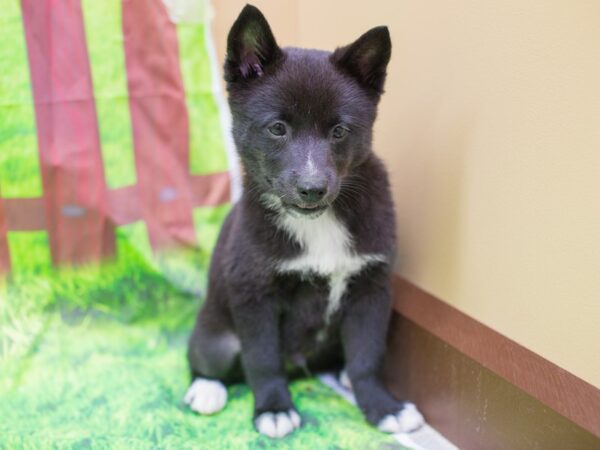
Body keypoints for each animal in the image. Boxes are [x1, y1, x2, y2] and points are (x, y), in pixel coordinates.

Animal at [185, 4, 424, 440]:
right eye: (277, 128)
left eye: (340, 130)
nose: (312, 189)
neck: (319, 223)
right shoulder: (253, 293)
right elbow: (262, 359)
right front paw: (274, 409)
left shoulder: (372, 288)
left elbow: (368, 357)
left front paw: (384, 408)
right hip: (215, 336)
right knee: (204, 360)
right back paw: (207, 389)